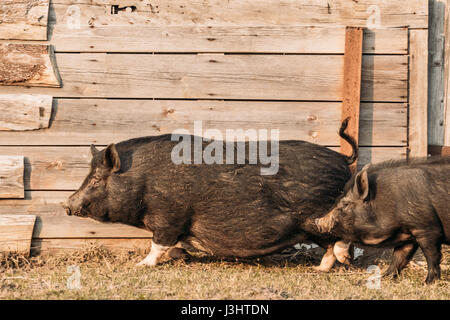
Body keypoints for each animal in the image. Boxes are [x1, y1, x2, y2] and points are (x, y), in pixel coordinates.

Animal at [63, 124, 356, 268]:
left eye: (97, 179)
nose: (66, 204)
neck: (143, 181)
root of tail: (343, 160)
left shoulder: (168, 217)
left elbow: (158, 245)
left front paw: (139, 265)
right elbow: (171, 247)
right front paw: (183, 256)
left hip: (319, 218)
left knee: (340, 236)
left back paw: (342, 261)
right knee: (329, 246)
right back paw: (319, 269)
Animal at [316, 156, 450, 284]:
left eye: (345, 204)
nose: (317, 221)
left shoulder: (426, 229)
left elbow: (431, 256)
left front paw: (427, 282)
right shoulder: (408, 234)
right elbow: (399, 256)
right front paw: (382, 278)